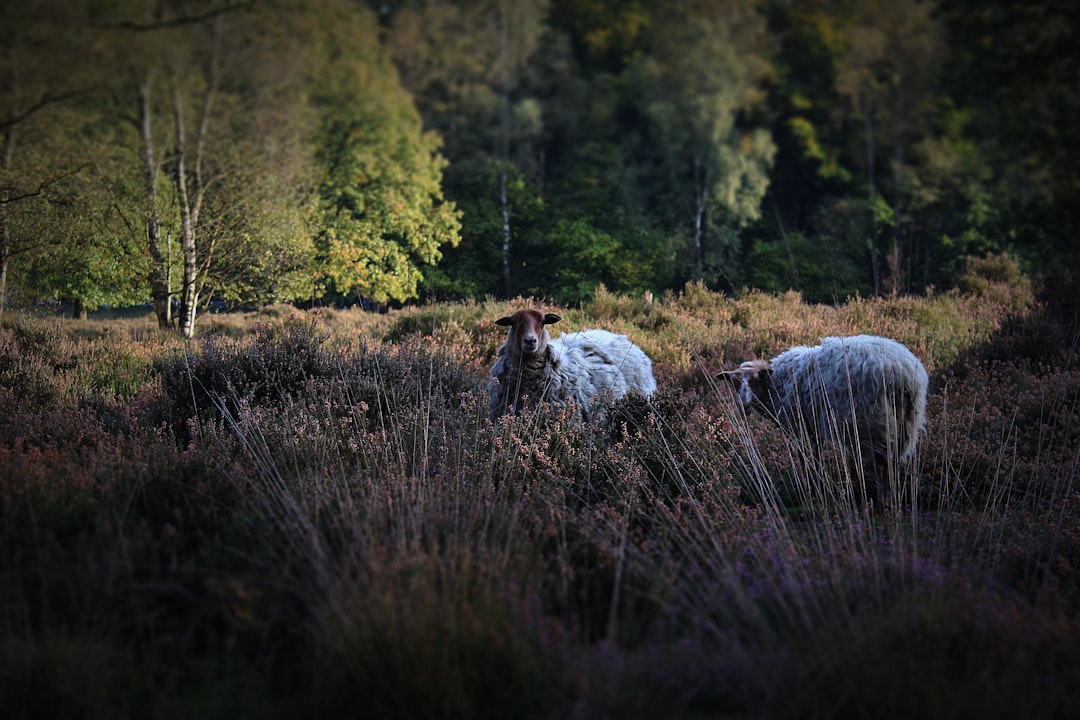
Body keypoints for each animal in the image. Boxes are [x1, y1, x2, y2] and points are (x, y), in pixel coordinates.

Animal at [725, 334, 928, 509]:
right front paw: (817, 486)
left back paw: (884, 502)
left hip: (873, 423)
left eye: (754, 382)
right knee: (894, 461)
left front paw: (812, 490)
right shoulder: (811, 427)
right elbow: (815, 457)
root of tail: (902, 372)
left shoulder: (799, 427)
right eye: (734, 383)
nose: (743, 406)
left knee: (883, 463)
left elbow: (806, 459)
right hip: (906, 423)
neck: (774, 385)